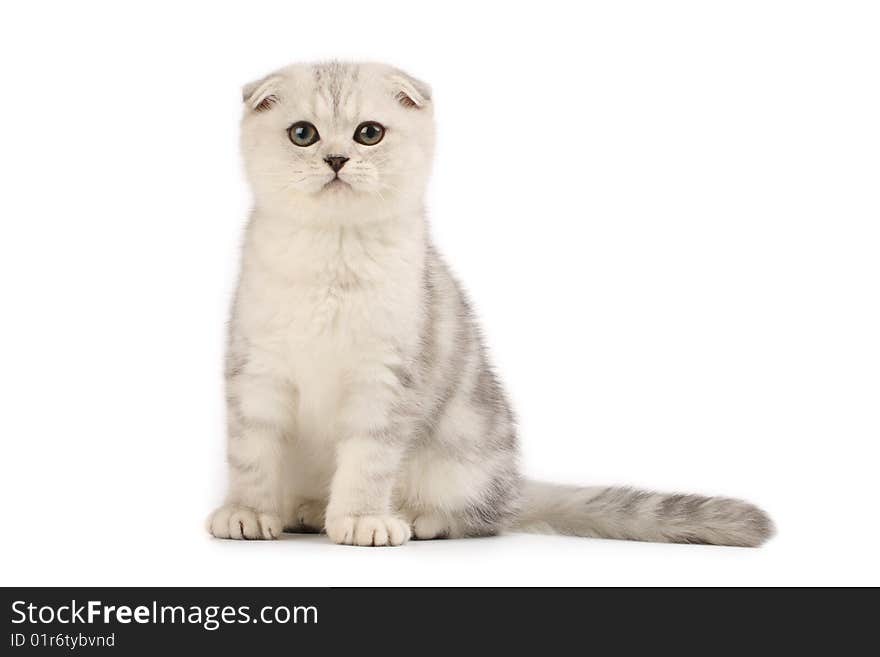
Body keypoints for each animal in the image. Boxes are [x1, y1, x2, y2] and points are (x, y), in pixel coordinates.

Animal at [206, 61, 768, 544]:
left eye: (369, 133)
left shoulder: (385, 379)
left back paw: (413, 518)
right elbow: (251, 456)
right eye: (303, 134)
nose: (337, 160)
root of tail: (514, 484)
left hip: (466, 452)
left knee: (481, 517)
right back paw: (304, 510)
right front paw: (247, 513)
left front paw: (364, 519)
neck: (332, 252)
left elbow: (368, 461)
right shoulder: (256, 371)